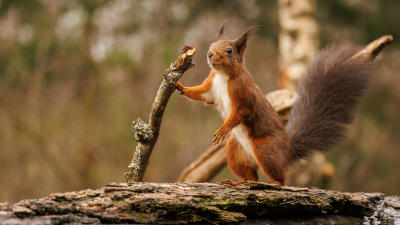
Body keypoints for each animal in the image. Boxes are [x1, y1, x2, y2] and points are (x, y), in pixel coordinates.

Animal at [175, 21, 376, 186]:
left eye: (229, 50)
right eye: (211, 45)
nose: (209, 54)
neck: (223, 75)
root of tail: (287, 151)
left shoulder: (244, 94)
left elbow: (243, 111)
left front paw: (223, 129)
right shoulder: (211, 86)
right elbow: (201, 94)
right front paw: (179, 86)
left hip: (265, 148)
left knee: (280, 178)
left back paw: (274, 182)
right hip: (235, 150)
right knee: (252, 178)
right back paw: (235, 183)